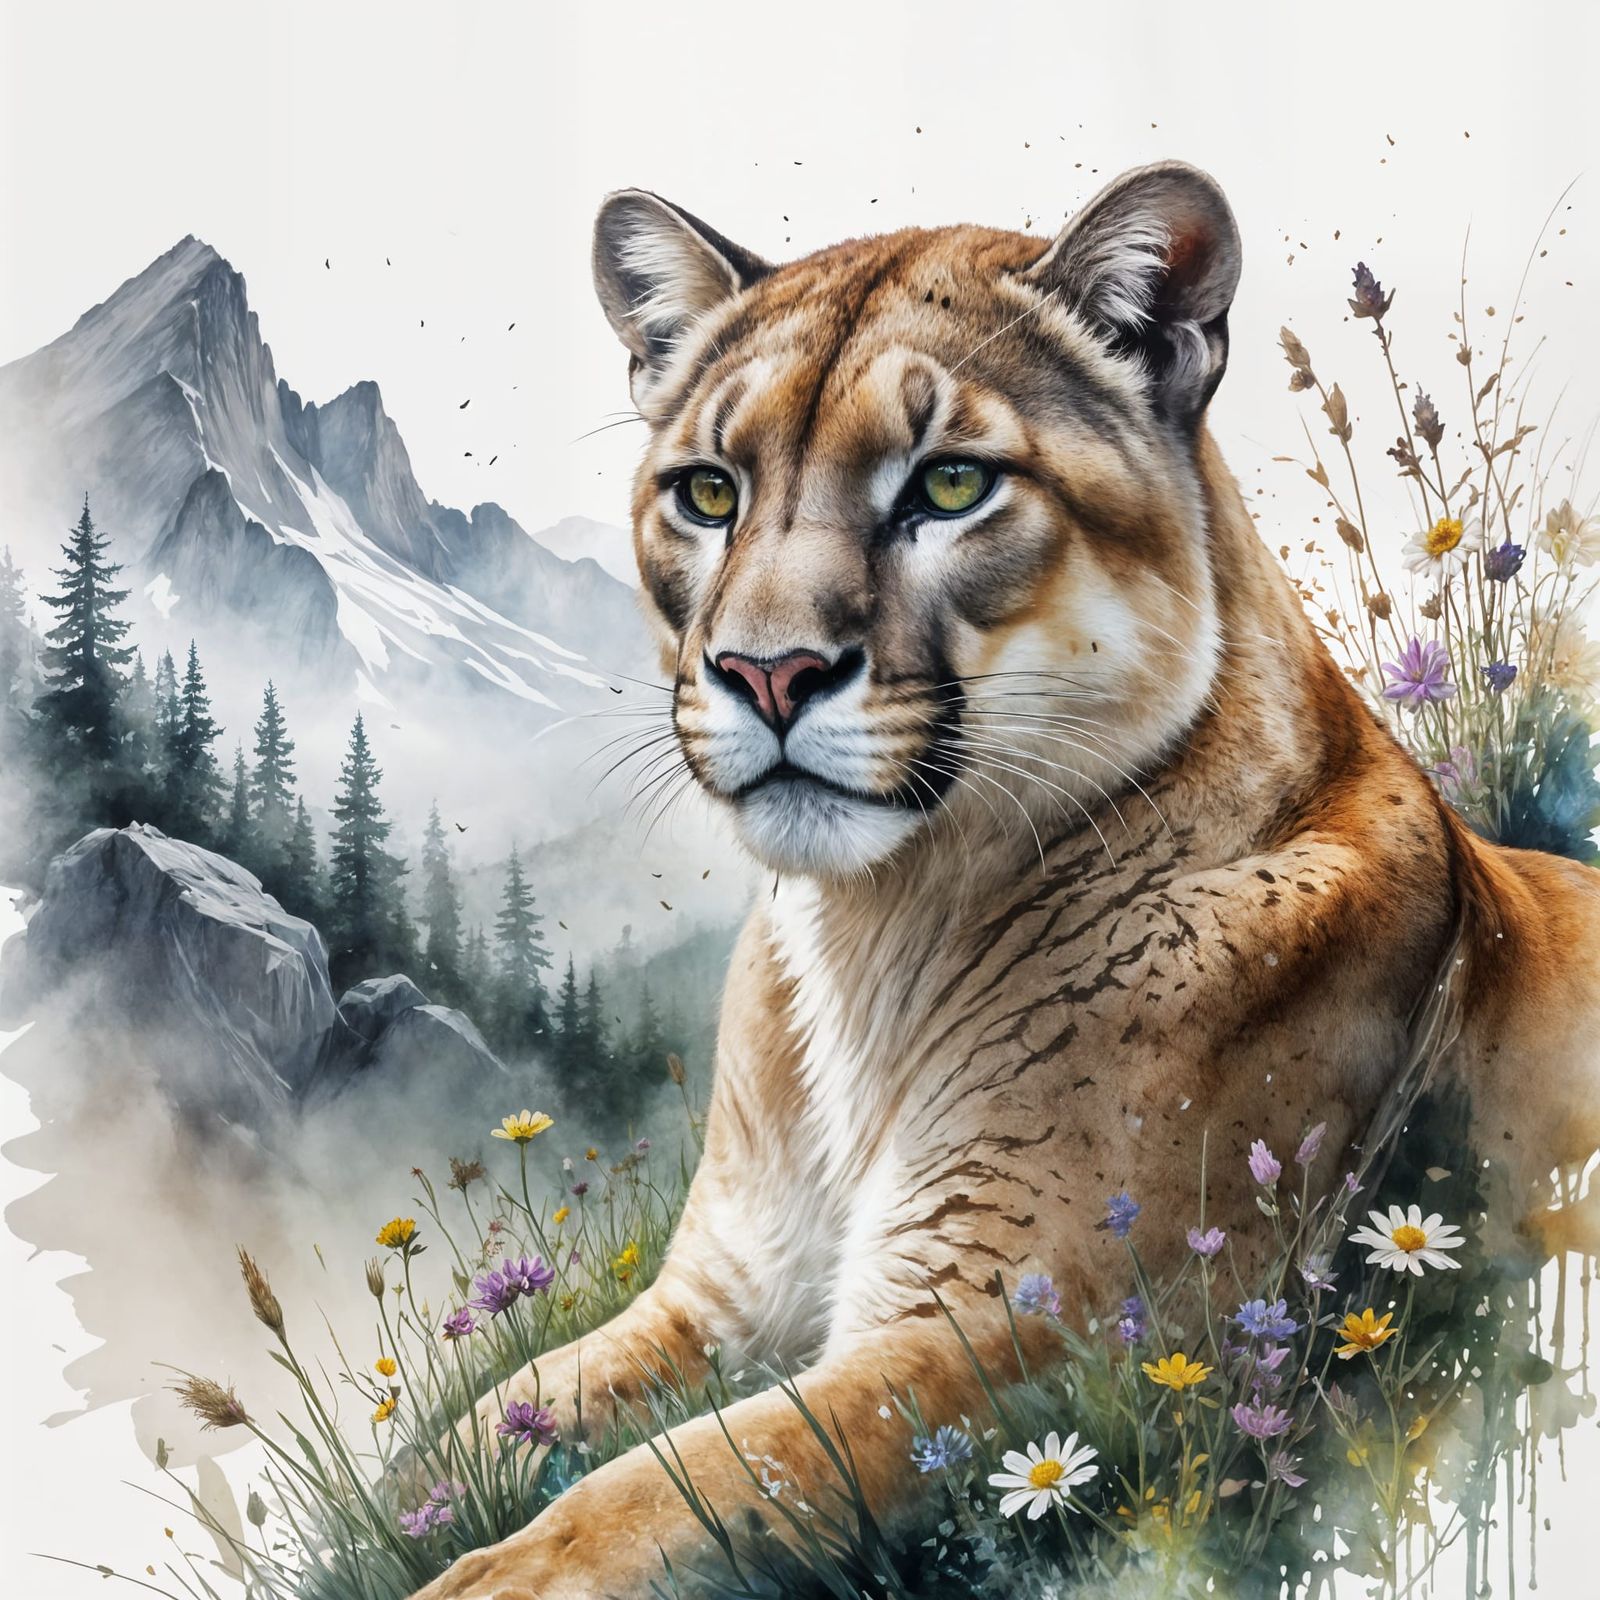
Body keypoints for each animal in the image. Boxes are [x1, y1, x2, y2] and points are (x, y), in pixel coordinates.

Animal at [412, 162, 1600, 1599]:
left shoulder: (1024, 1323)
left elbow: (683, 1483)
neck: (877, 933)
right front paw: (387, 1501)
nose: (767, 672)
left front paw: (475, 1573)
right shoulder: (723, 1292)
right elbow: (500, 1416)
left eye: (950, 484)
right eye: (704, 493)